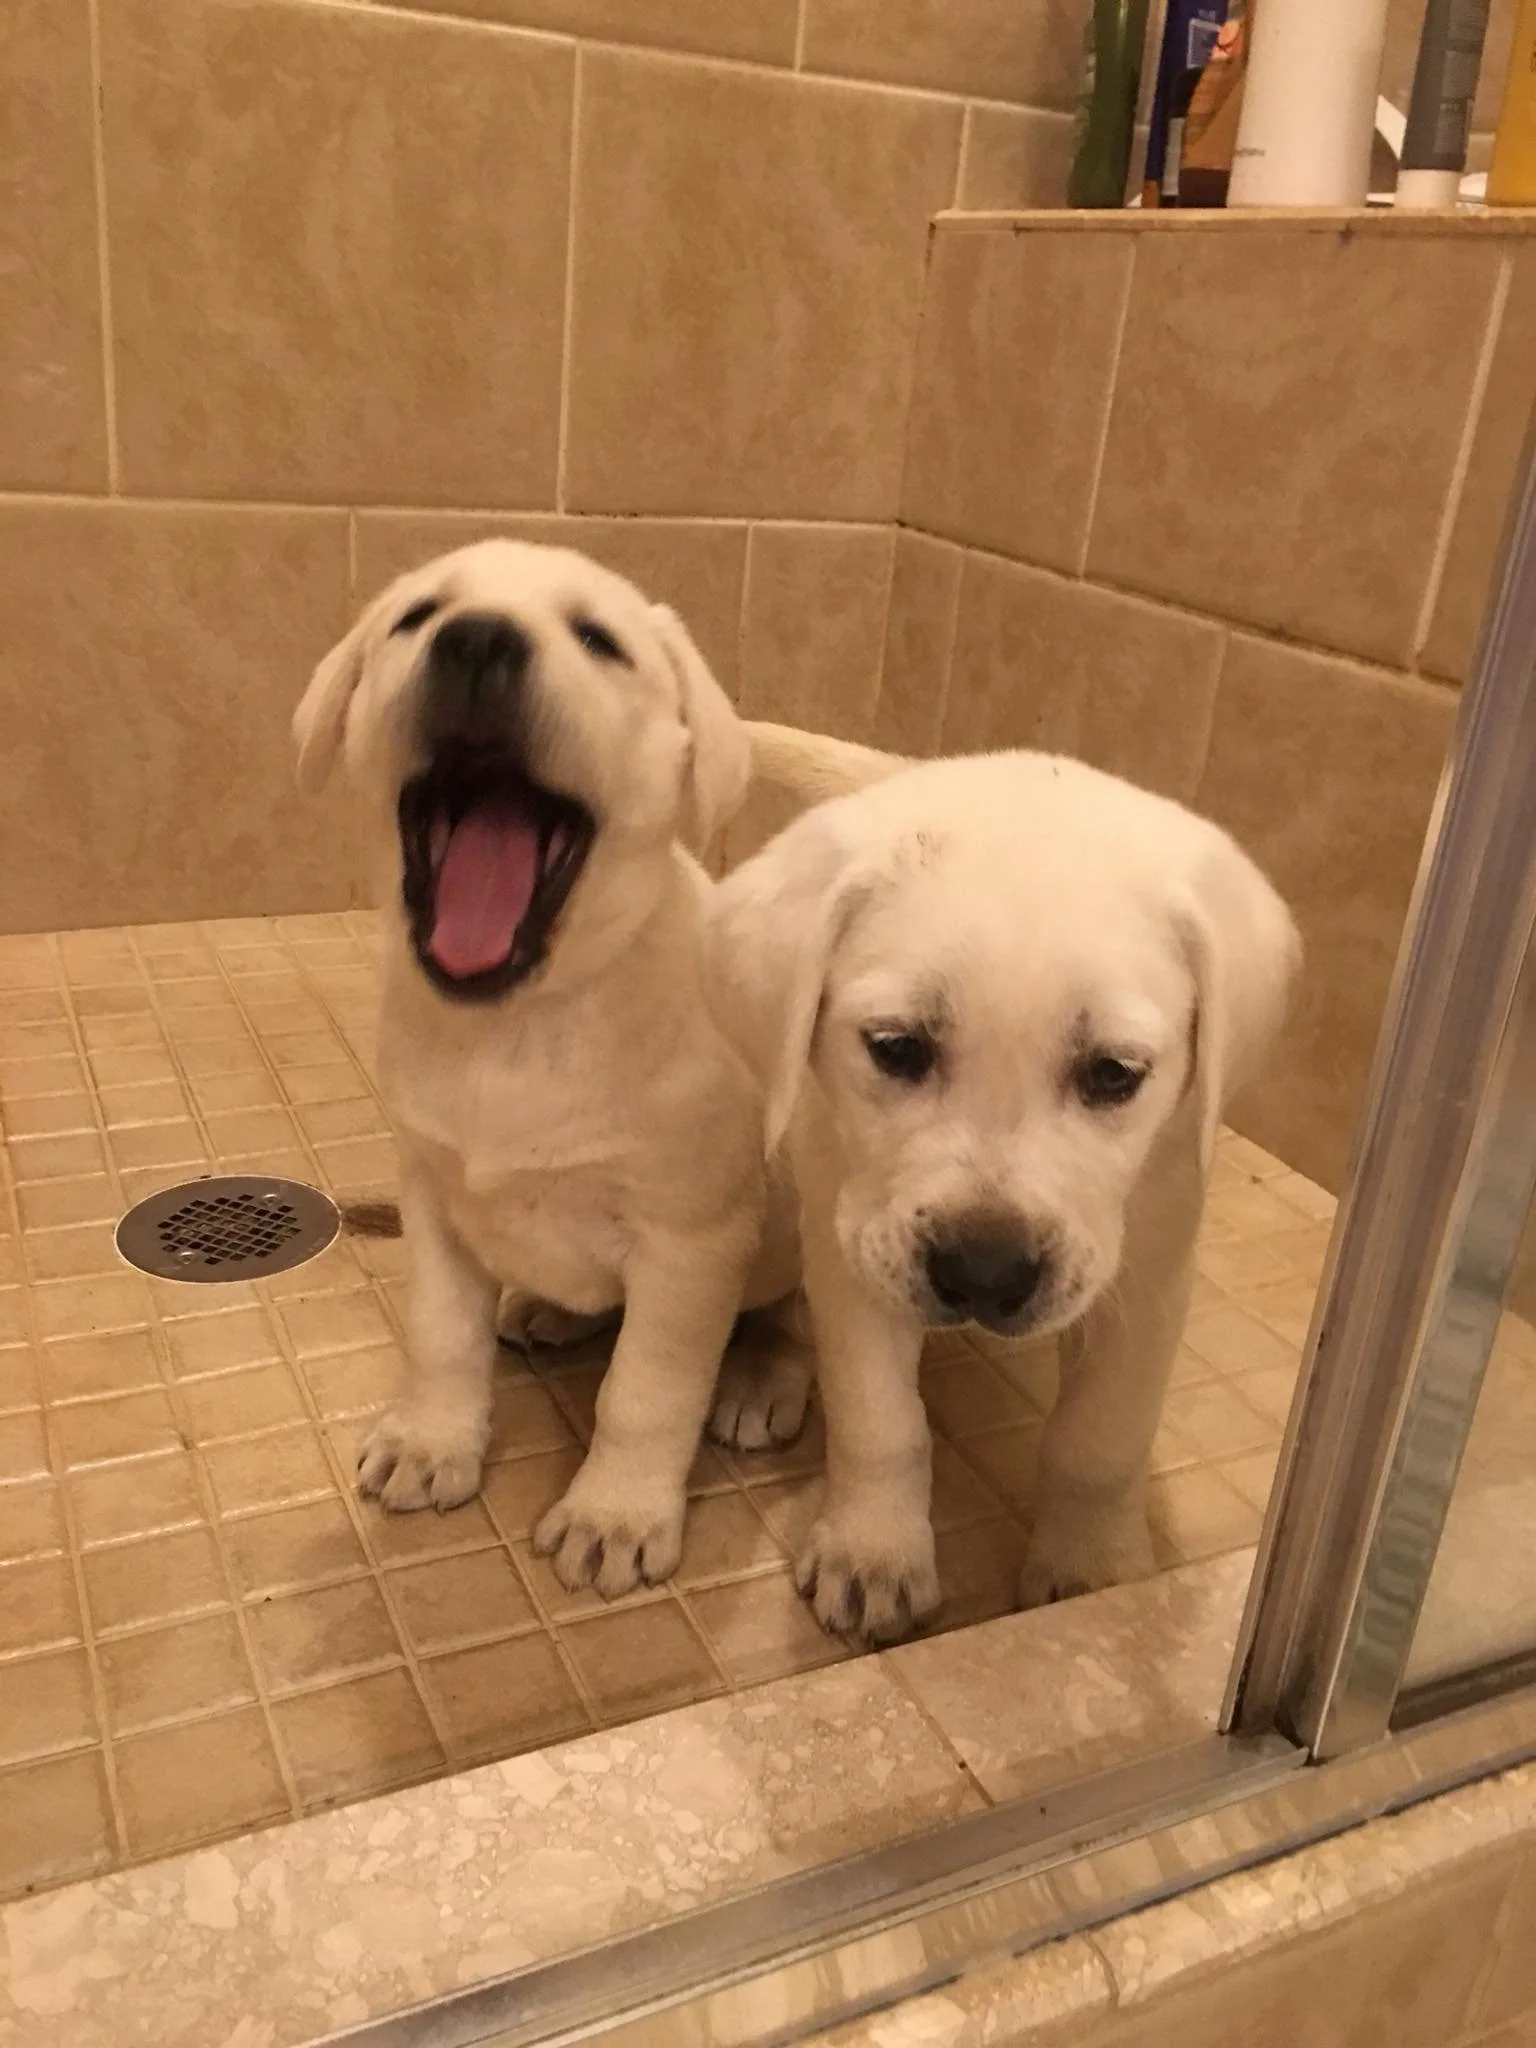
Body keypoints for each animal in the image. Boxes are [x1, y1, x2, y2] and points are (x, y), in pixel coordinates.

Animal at [292, 540, 805, 1597]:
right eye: (417, 618)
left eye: (599, 641)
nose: (477, 639)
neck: (520, 1029)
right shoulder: (431, 1197)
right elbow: (441, 1338)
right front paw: (431, 1440)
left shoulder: (690, 1244)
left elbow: (645, 1392)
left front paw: (615, 1514)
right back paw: (550, 1312)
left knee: (796, 1320)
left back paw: (761, 1377)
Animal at [705, 726, 1300, 1644]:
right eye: (897, 1048)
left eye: (1113, 1074)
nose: (984, 1274)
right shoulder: (855, 1249)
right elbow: (881, 1421)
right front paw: (874, 1553)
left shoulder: (1153, 1267)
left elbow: (1101, 1440)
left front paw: (1093, 1572)